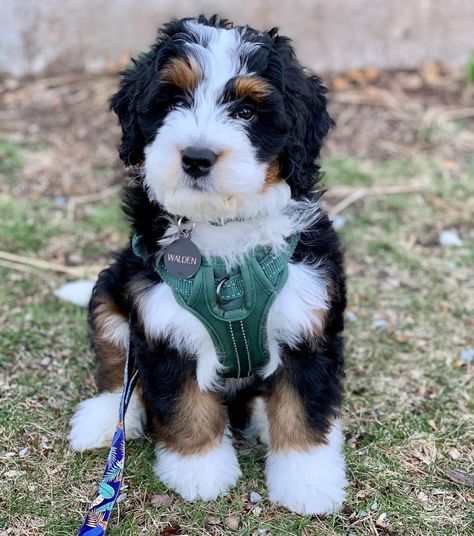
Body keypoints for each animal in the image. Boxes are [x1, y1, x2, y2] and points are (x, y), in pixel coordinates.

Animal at [68, 15, 346, 516]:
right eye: (175, 100)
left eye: (247, 112)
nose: (197, 158)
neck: (222, 229)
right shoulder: (162, 319)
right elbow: (185, 404)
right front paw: (198, 470)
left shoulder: (307, 317)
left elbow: (302, 406)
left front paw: (308, 481)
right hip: (112, 294)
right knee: (118, 370)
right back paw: (103, 420)